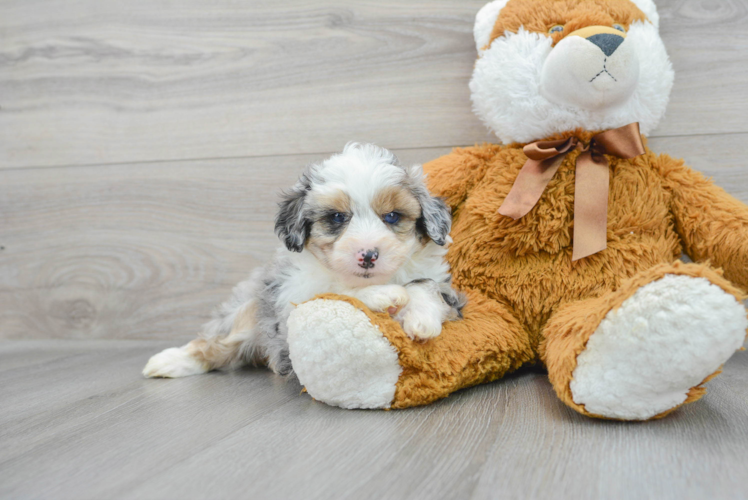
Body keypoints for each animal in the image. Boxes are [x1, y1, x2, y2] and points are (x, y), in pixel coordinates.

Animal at [143, 143, 464, 376]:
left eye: (393, 216)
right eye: (337, 217)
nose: (368, 255)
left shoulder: (448, 291)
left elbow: (426, 285)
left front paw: (421, 319)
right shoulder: (290, 298)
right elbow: (334, 291)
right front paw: (383, 294)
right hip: (248, 311)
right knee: (215, 343)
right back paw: (166, 362)